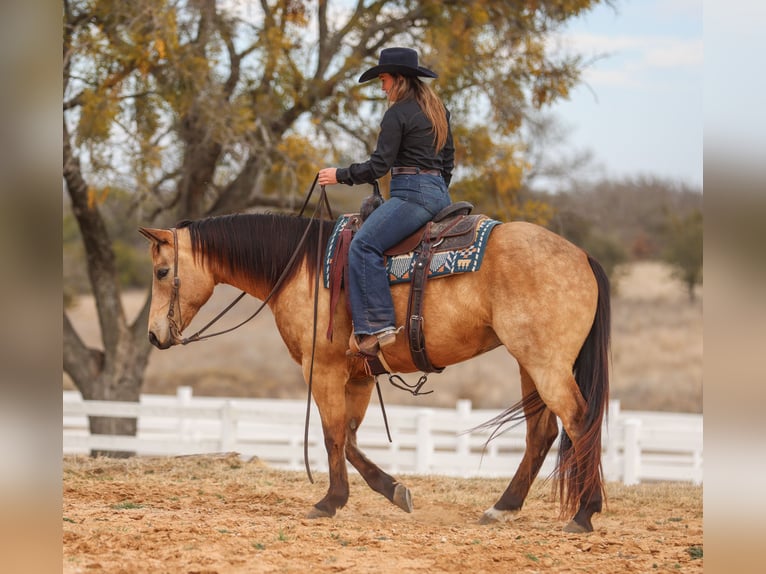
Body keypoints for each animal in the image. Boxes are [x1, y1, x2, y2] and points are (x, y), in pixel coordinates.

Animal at [139, 210, 610, 533]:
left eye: (162, 271)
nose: (154, 334)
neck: (303, 269)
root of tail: (583, 255)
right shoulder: (360, 375)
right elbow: (348, 438)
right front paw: (393, 489)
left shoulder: (322, 369)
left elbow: (332, 435)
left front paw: (330, 501)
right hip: (529, 364)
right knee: (542, 433)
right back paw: (503, 507)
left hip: (545, 364)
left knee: (580, 421)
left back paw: (584, 513)